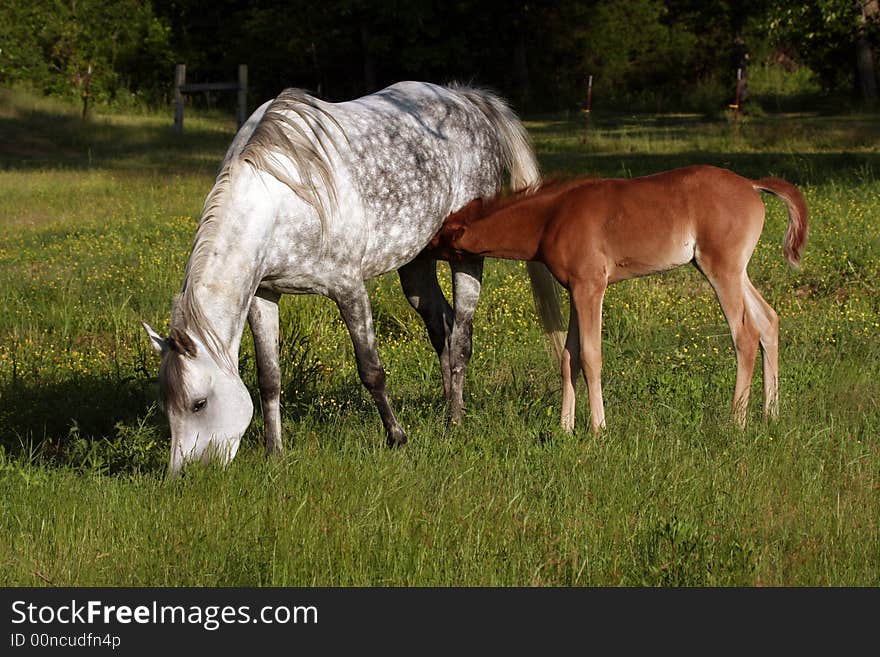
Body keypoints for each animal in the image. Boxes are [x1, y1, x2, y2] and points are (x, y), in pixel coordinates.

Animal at [142, 82, 560, 474]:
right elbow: (269, 377)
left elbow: (371, 369)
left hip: (466, 256)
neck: (281, 198)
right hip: (416, 263)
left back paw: (453, 423)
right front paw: (275, 451)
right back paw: (446, 408)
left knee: (460, 340)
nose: (185, 474)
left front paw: (397, 438)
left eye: (198, 404)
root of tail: (468, 99)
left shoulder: (348, 287)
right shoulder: (264, 295)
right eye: (165, 407)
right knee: (442, 327)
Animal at [430, 165, 808, 430]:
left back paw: (736, 422)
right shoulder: (575, 290)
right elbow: (569, 357)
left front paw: (598, 429)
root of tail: (751, 184)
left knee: (745, 334)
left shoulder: (591, 286)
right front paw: (564, 428)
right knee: (768, 320)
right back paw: (770, 415)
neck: (550, 219)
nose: (422, 249)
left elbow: (591, 356)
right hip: (732, 270)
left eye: (440, 235)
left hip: (722, 269)